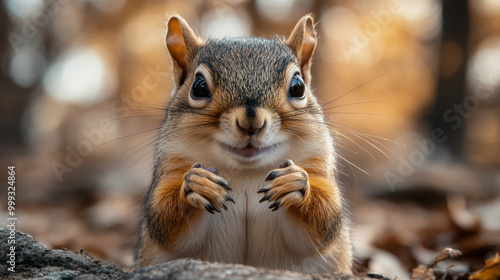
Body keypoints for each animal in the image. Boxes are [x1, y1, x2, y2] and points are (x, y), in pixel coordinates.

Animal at [135, 13, 354, 274]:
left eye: (298, 87)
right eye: (198, 87)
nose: (251, 123)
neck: (247, 172)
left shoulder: (317, 164)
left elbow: (324, 223)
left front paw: (295, 182)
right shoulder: (172, 165)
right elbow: (164, 222)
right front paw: (198, 184)